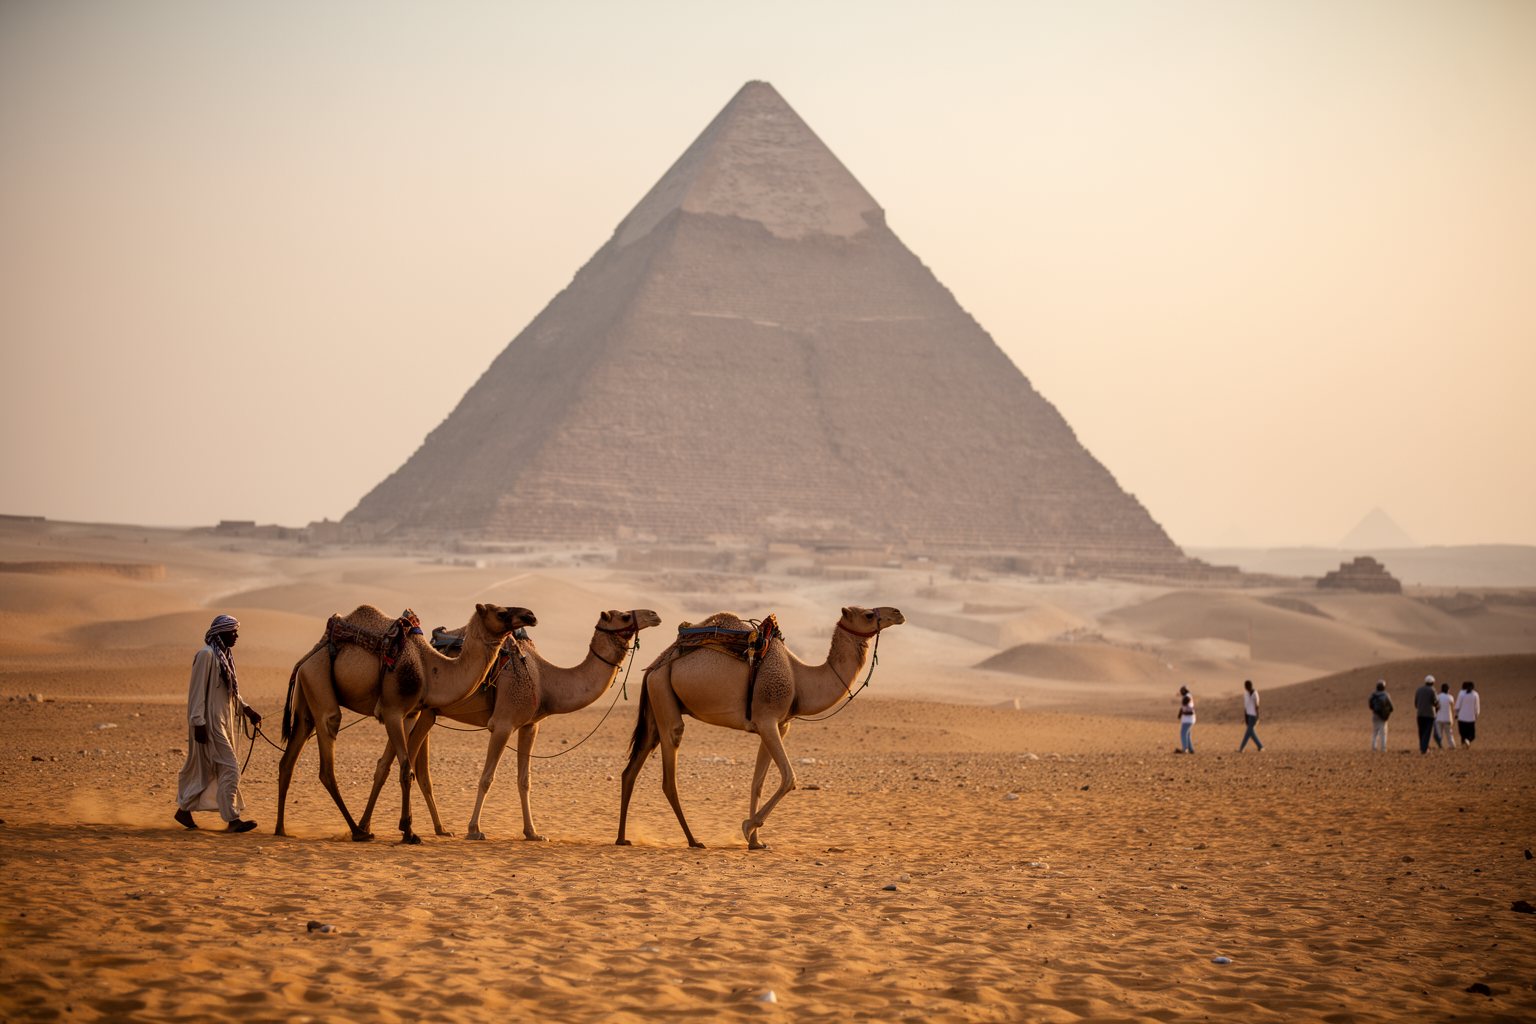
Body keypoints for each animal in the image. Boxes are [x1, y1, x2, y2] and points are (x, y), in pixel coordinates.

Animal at [274, 602, 536, 844]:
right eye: (501, 613)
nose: (530, 615)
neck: (430, 670)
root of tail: (305, 659)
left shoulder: (410, 714)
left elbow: (401, 768)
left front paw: (407, 827)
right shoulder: (392, 711)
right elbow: (405, 769)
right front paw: (409, 832)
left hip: (307, 694)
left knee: (288, 760)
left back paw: (281, 829)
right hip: (318, 678)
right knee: (327, 753)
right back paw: (358, 831)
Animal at [356, 608, 663, 841]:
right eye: (624, 616)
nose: (654, 614)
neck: (544, 679)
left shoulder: (530, 725)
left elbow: (524, 780)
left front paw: (533, 832)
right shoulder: (503, 724)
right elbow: (487, 778)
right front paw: (474, 829)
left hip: (425, 713)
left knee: (409, 767)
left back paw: (432, 829)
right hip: (411, 709)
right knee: (398, 764)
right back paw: (373, 828)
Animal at [616, 604, 904, 850]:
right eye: (868, 614)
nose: (898, 613)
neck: (800, 679)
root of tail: (653, 666)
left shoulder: (778, 725)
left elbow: (758, 783)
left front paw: (756, 841)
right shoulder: (767, 720)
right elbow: (789, 778)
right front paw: (747, 827)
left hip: (656, 702)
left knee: (632, 768)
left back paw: (622, 838)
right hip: (662, 692)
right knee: (669, 771)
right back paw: (693, 840)